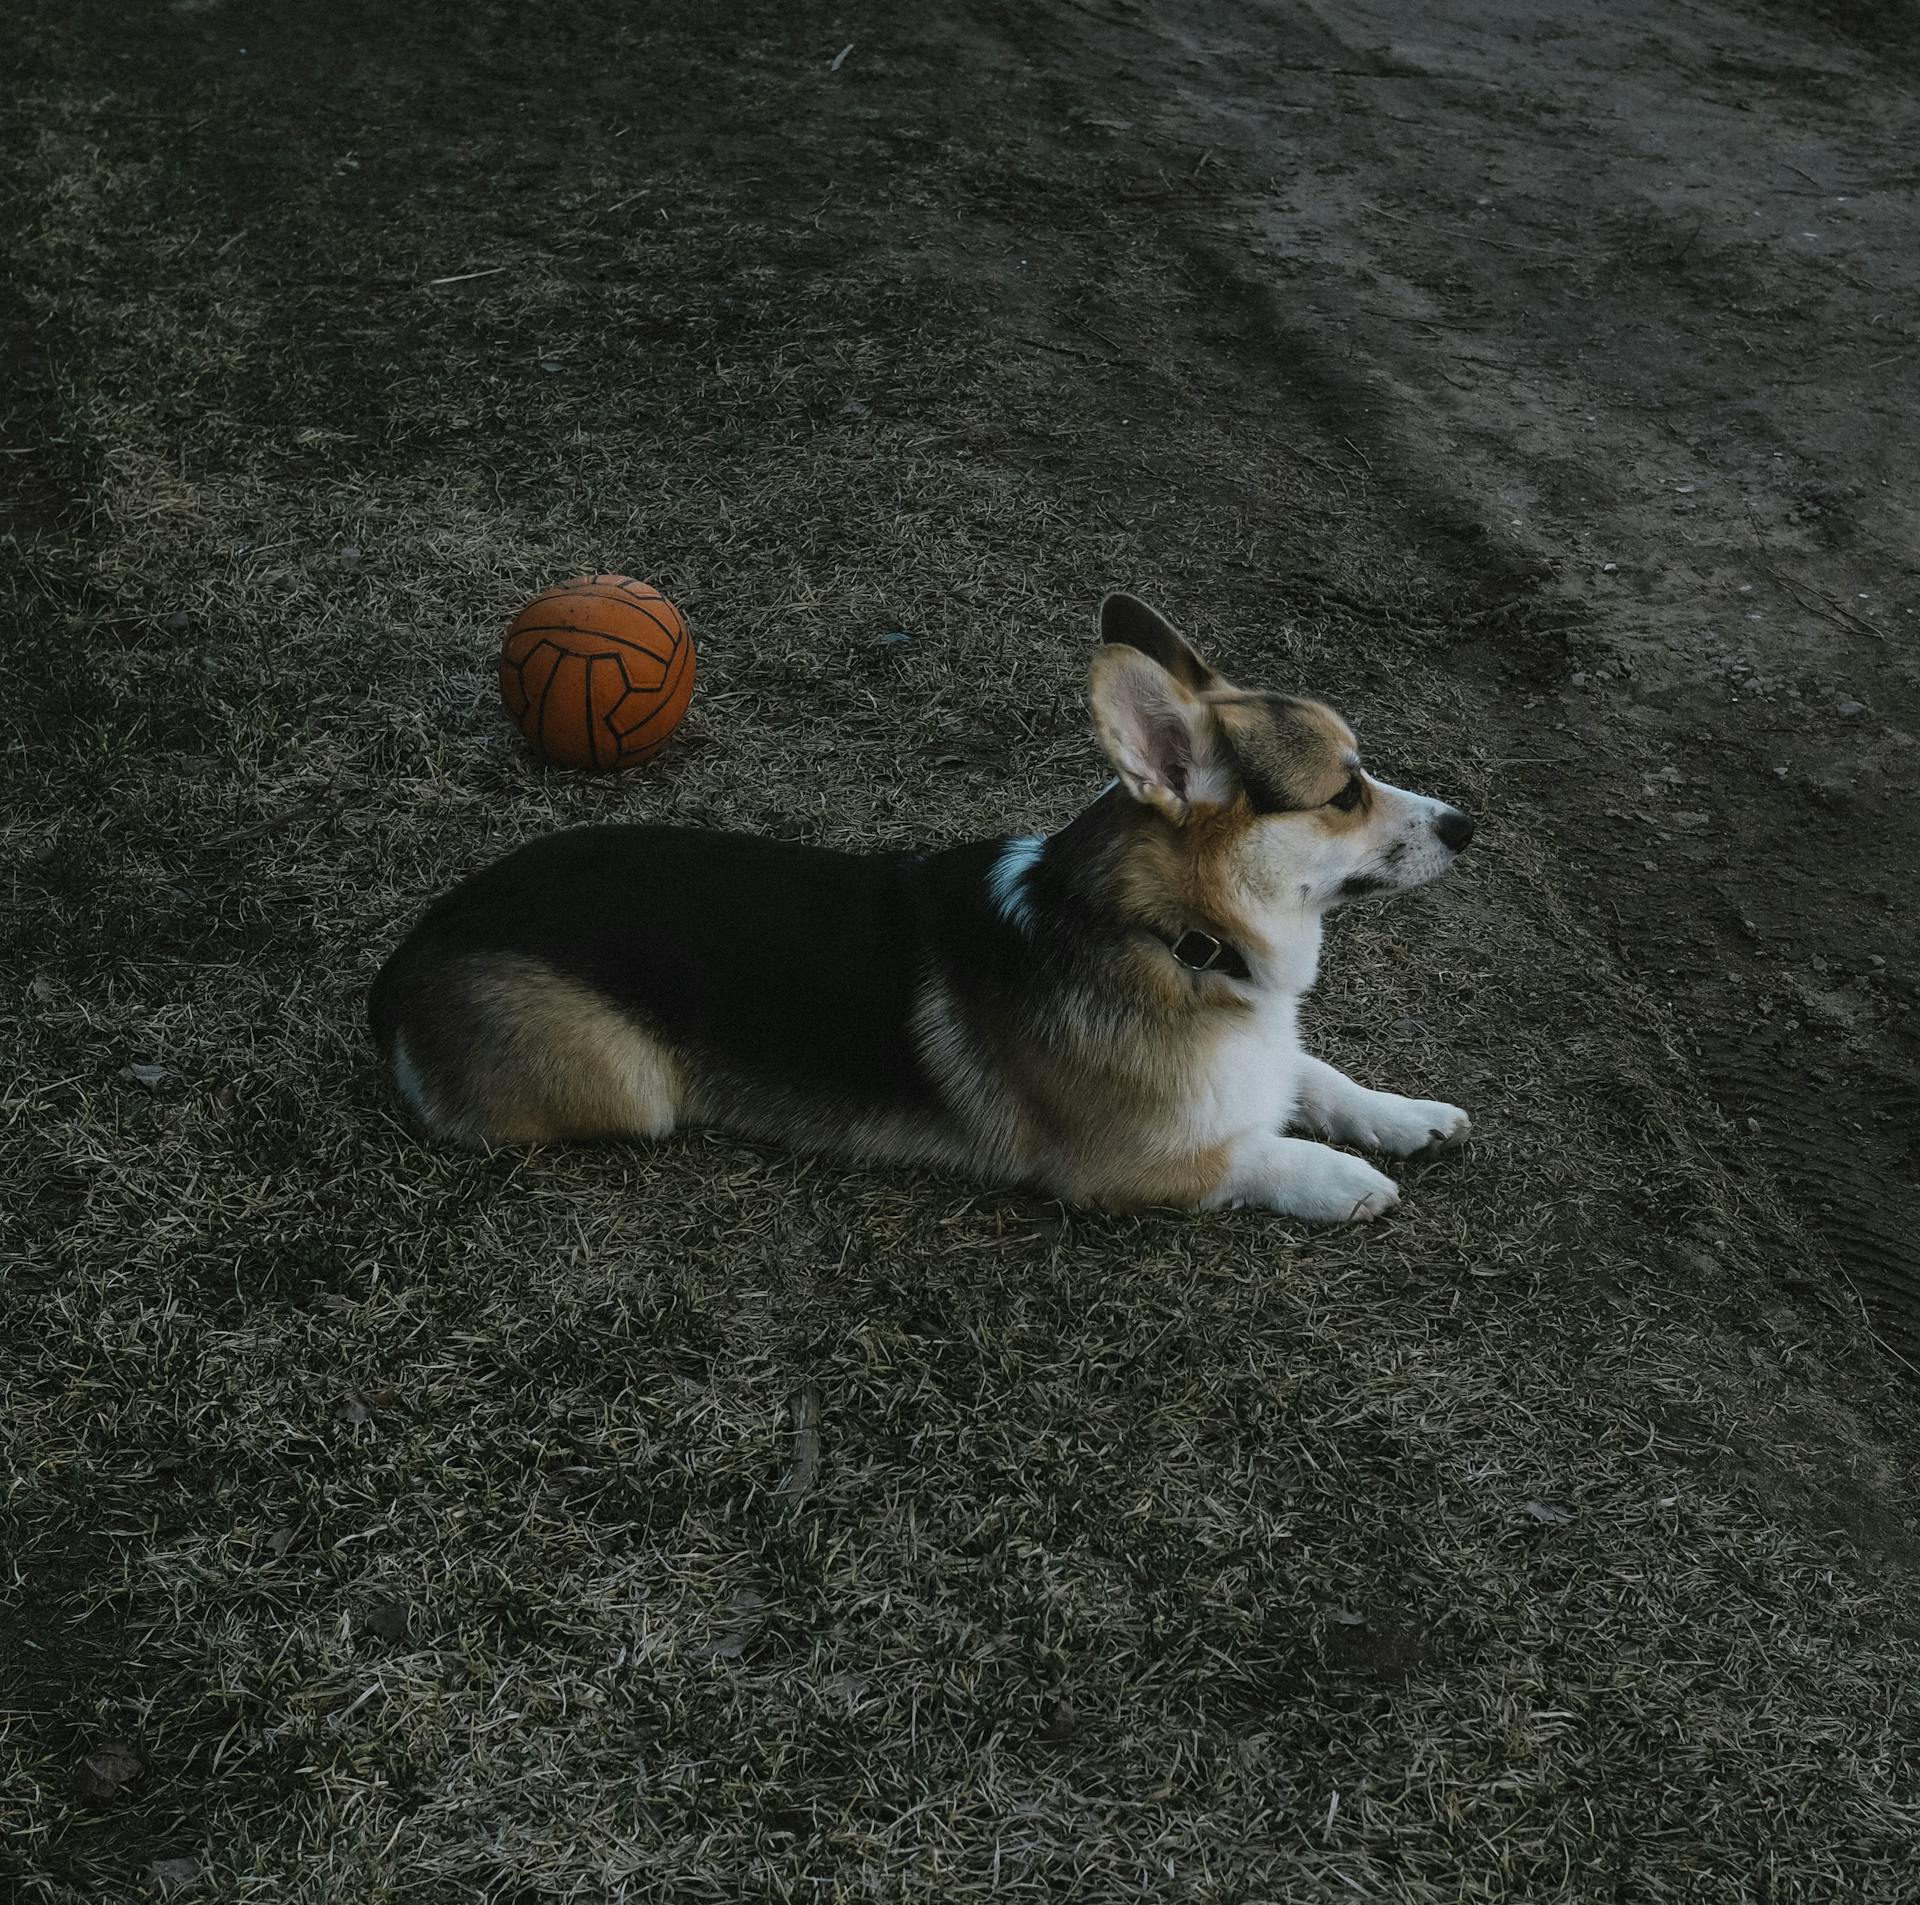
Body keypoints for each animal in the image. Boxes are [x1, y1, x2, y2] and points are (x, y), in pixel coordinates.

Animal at [366, 591, 1474, 1221]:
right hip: (632, 1086)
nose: (1466, 825)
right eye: (1345, 793)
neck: (1174, 939)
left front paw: (1411, 1118)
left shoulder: (1270, 1053)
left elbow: (1319, 1077)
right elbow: (1260, 1151)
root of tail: (413, 952)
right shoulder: (1134, 1164)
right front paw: (1346, 1182)